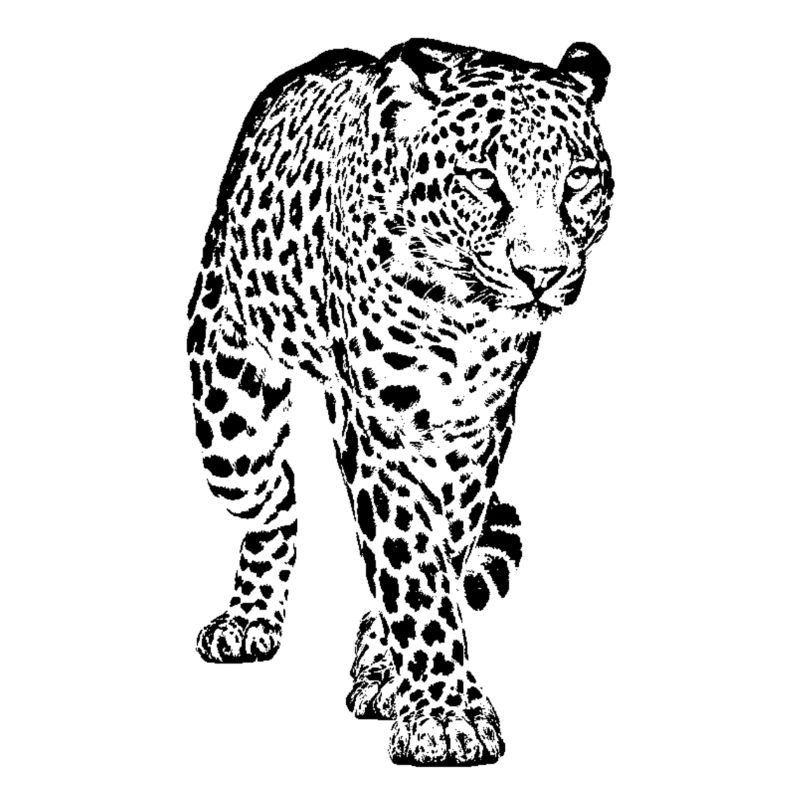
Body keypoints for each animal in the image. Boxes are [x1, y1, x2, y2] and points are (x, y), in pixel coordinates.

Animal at [187, 38, 613, 766]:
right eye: (483, 179)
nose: (543, 273)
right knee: (275, 497)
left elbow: (442, 545)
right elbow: (410, 561)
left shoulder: (477, 427)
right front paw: (446, 716)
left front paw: (390, 672)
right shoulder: (378, 423)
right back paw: (249, 620)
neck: (466, 315)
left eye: (578, 179)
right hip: (230, 417)